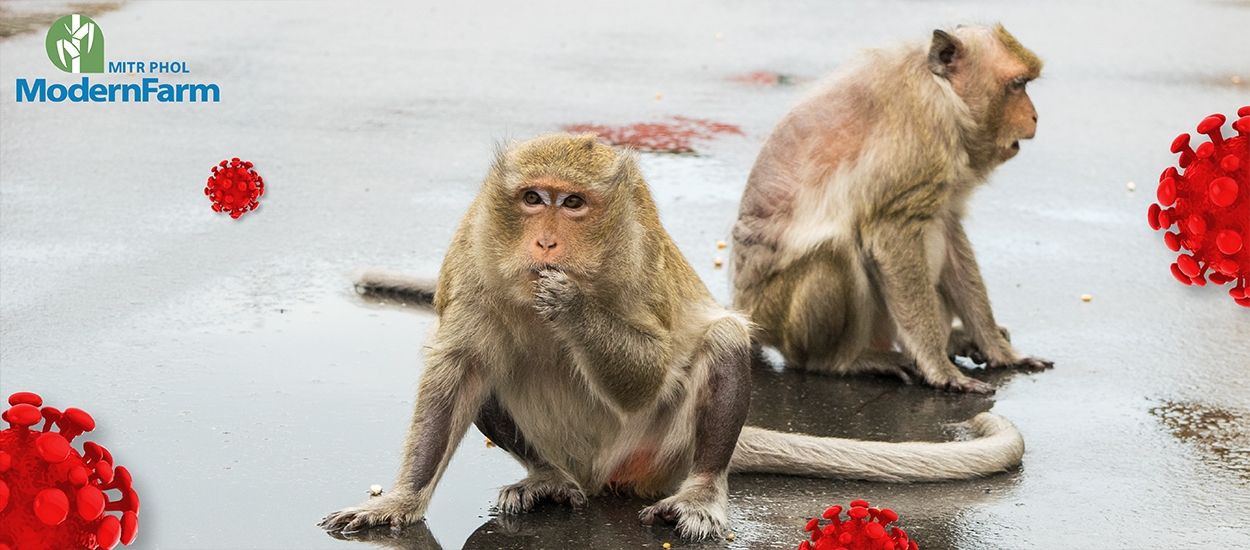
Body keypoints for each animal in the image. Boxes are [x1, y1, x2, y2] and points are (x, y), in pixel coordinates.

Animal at [320, 134, 1025, 542]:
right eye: (533, 198)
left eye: (572, 204)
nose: (545, 243)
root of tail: (604, 476)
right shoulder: (471, 253)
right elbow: (461, 366)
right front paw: (399, 502)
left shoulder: (637, 254)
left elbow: (650, 372)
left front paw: (570, 304)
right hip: (585, 461)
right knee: (495, 372)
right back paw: (549, 476)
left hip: (658, 452)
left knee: (721, 341)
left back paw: (702, 493)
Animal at [730, 24, 1060, 395]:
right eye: (1018, 85)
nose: (1034, 116)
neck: (943, 93)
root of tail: (746, 309)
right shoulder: (921, 143)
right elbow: (892, 232)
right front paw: (939, 368)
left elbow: (948, 226)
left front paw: (998, 349)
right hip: (781, 319)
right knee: (834, 253)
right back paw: (843, 361)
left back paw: (954, 340)